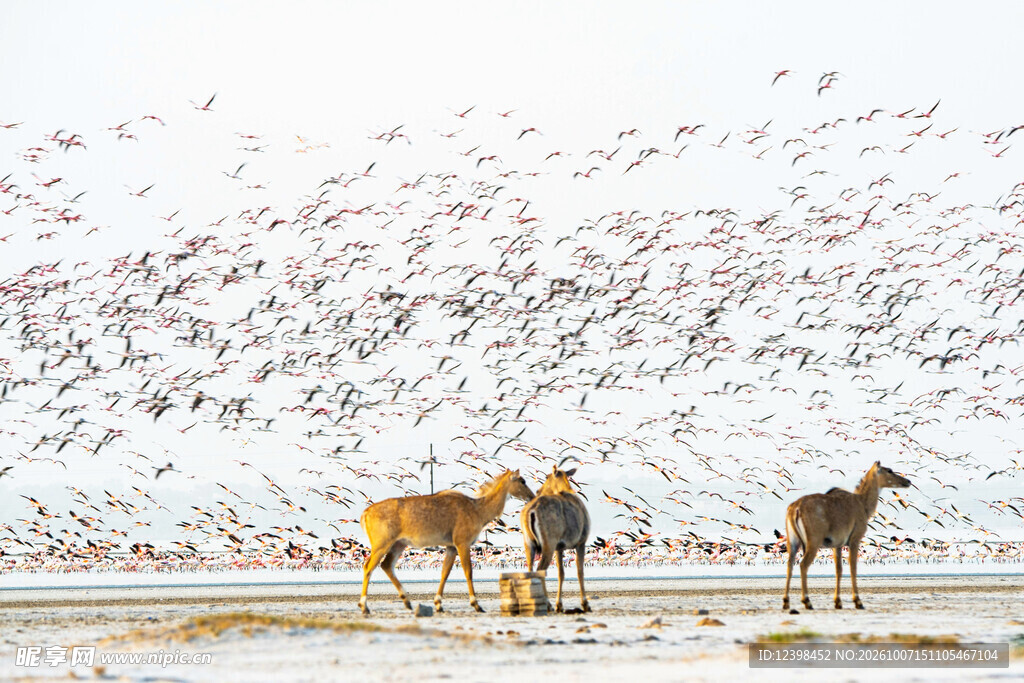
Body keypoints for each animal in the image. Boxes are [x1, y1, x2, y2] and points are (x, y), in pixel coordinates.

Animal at [358, 469, 534, 616]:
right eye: (522, 481)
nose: (531, 497)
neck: (478, 509)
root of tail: (365, 514)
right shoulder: (462, 543)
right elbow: (468, 572)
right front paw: (476, 604)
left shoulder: (451, 547)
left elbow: (445, 572)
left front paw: (438, 604)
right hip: (382, 544)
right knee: (368, 567)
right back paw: (364, 606)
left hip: (398, 544)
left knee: (386, 565)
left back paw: (407, 601)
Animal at [521, 465, 591, 613]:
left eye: (546, 476)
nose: (538, 491)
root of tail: (531, 511)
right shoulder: (581, 542)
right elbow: (580, 572)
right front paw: (585, 604)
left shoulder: (559, 547)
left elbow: (561, 573)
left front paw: (560, 604)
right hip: (548, 544)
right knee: (540, 570)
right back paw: (547, 604)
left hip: (529, 543)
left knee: (530, 570)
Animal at [782, 461, 911, 611]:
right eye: (889, 470)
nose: (908, 481)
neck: (862, 503)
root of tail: (795, 508)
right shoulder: (855, 540)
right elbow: (853, 568)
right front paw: (858, 601)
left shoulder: (837, 545)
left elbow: (839, 570)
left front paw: (838, 602)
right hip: (813, 542)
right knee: (803, 565)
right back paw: (807, 602)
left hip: (793, 542)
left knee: (790, 565)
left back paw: (786, 602)